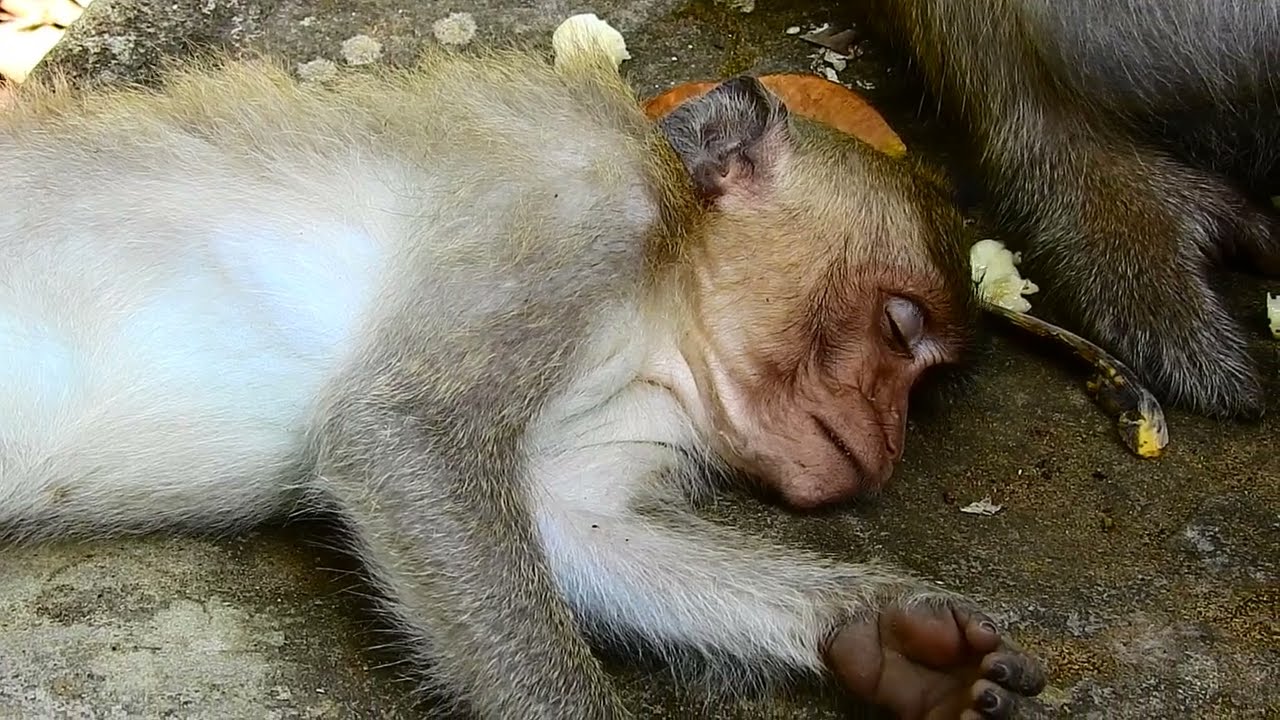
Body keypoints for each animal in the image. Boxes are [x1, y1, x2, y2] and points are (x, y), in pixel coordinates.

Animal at [0, 46, 1046, 719]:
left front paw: (885, 637)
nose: (891, 438)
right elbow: (404, 433)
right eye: (900, 325)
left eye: (924, 382)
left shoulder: (648, 408)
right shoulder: (570, 200)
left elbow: (571, 529)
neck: (657, 313)